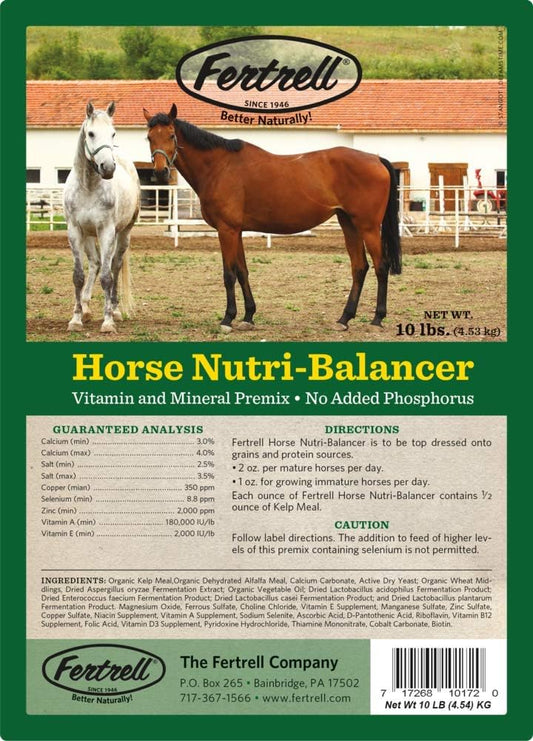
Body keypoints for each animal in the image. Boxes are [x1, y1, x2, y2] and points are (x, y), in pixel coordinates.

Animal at [64, 101, 140, 333]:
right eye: (91, 133)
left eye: (113, 133)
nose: (107, 168)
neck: (88, 186)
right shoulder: (75, 230)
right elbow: (78, 276)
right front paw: (76, 319)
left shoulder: (106, 231)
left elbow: (107, 277)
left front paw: (107, 322)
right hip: (89, 235)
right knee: (96, 263)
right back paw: (86, 309)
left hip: (123, 233)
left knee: (114, 265)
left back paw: (114, 310)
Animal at [143, 104, 401, 334]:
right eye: (149, 137)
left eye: (172, 135)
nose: (160, 171)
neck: (220, 167)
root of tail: (376, 159)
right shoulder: (236, 230)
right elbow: (242, 271)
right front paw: (248, 316)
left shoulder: (226, 230)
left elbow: (229, 274)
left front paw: (227, 319)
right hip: (348, 223)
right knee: (359, 267)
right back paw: (344, 318)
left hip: (368, 226)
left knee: (381, 266)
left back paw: (377, 319)